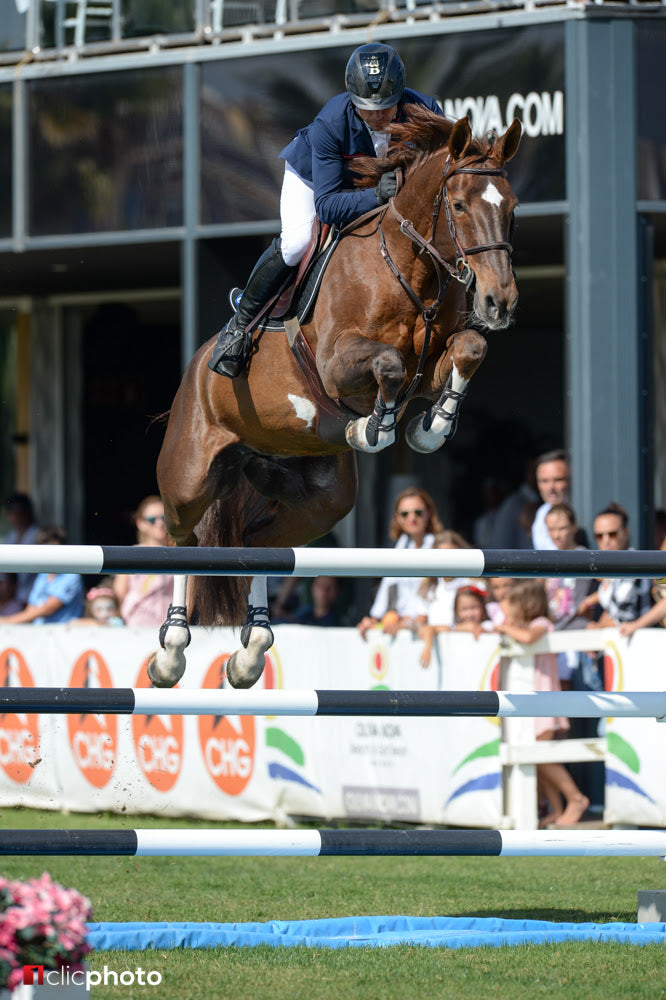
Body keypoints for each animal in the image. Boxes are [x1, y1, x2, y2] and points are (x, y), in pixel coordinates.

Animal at [149, 107, 520, 688]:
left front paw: (429, 428)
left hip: (320, 499)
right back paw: (170, 651)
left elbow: (470, 346)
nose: (499, 302)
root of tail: (195, 368)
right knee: (181, 541)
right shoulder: (335, 365)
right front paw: (376, 428)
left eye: (513, 208)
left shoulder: (437, 360)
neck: (408, 267)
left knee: (259, 544)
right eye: (458, 205)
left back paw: (251, 651)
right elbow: (388, 365)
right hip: (190, 478)